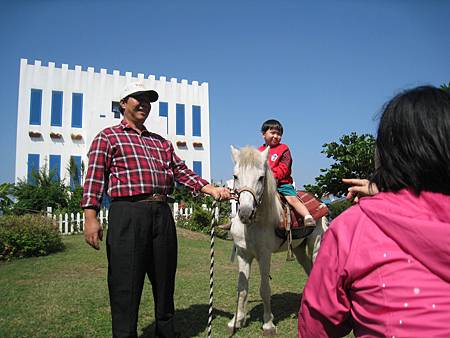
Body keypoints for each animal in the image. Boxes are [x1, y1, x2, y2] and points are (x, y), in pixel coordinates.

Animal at [227, 145, 328, 336]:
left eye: (261, 177)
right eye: (235, 176)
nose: (245, 213)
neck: (254, 224)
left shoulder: (265, 256)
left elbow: (264, 289)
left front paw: (268, 324)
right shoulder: (244, 255)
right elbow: (242, 288)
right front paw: (237, 320)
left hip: (316, 243)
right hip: (299, 249)